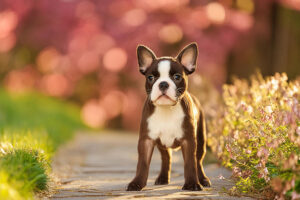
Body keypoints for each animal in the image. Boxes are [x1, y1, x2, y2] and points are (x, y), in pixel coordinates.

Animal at [126, 43, 211, 191]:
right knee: (166, 158)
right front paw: (137, 183)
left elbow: (190, 163)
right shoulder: (146, 141)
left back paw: (203, 180)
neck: (166, 109)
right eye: (150, 78)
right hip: (162, 144)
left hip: (200, 139)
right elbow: (142, 163)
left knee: (198, 161)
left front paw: (192, 184)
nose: (163, 83)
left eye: (177, 77)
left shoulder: (189, 141)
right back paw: (163, 178)